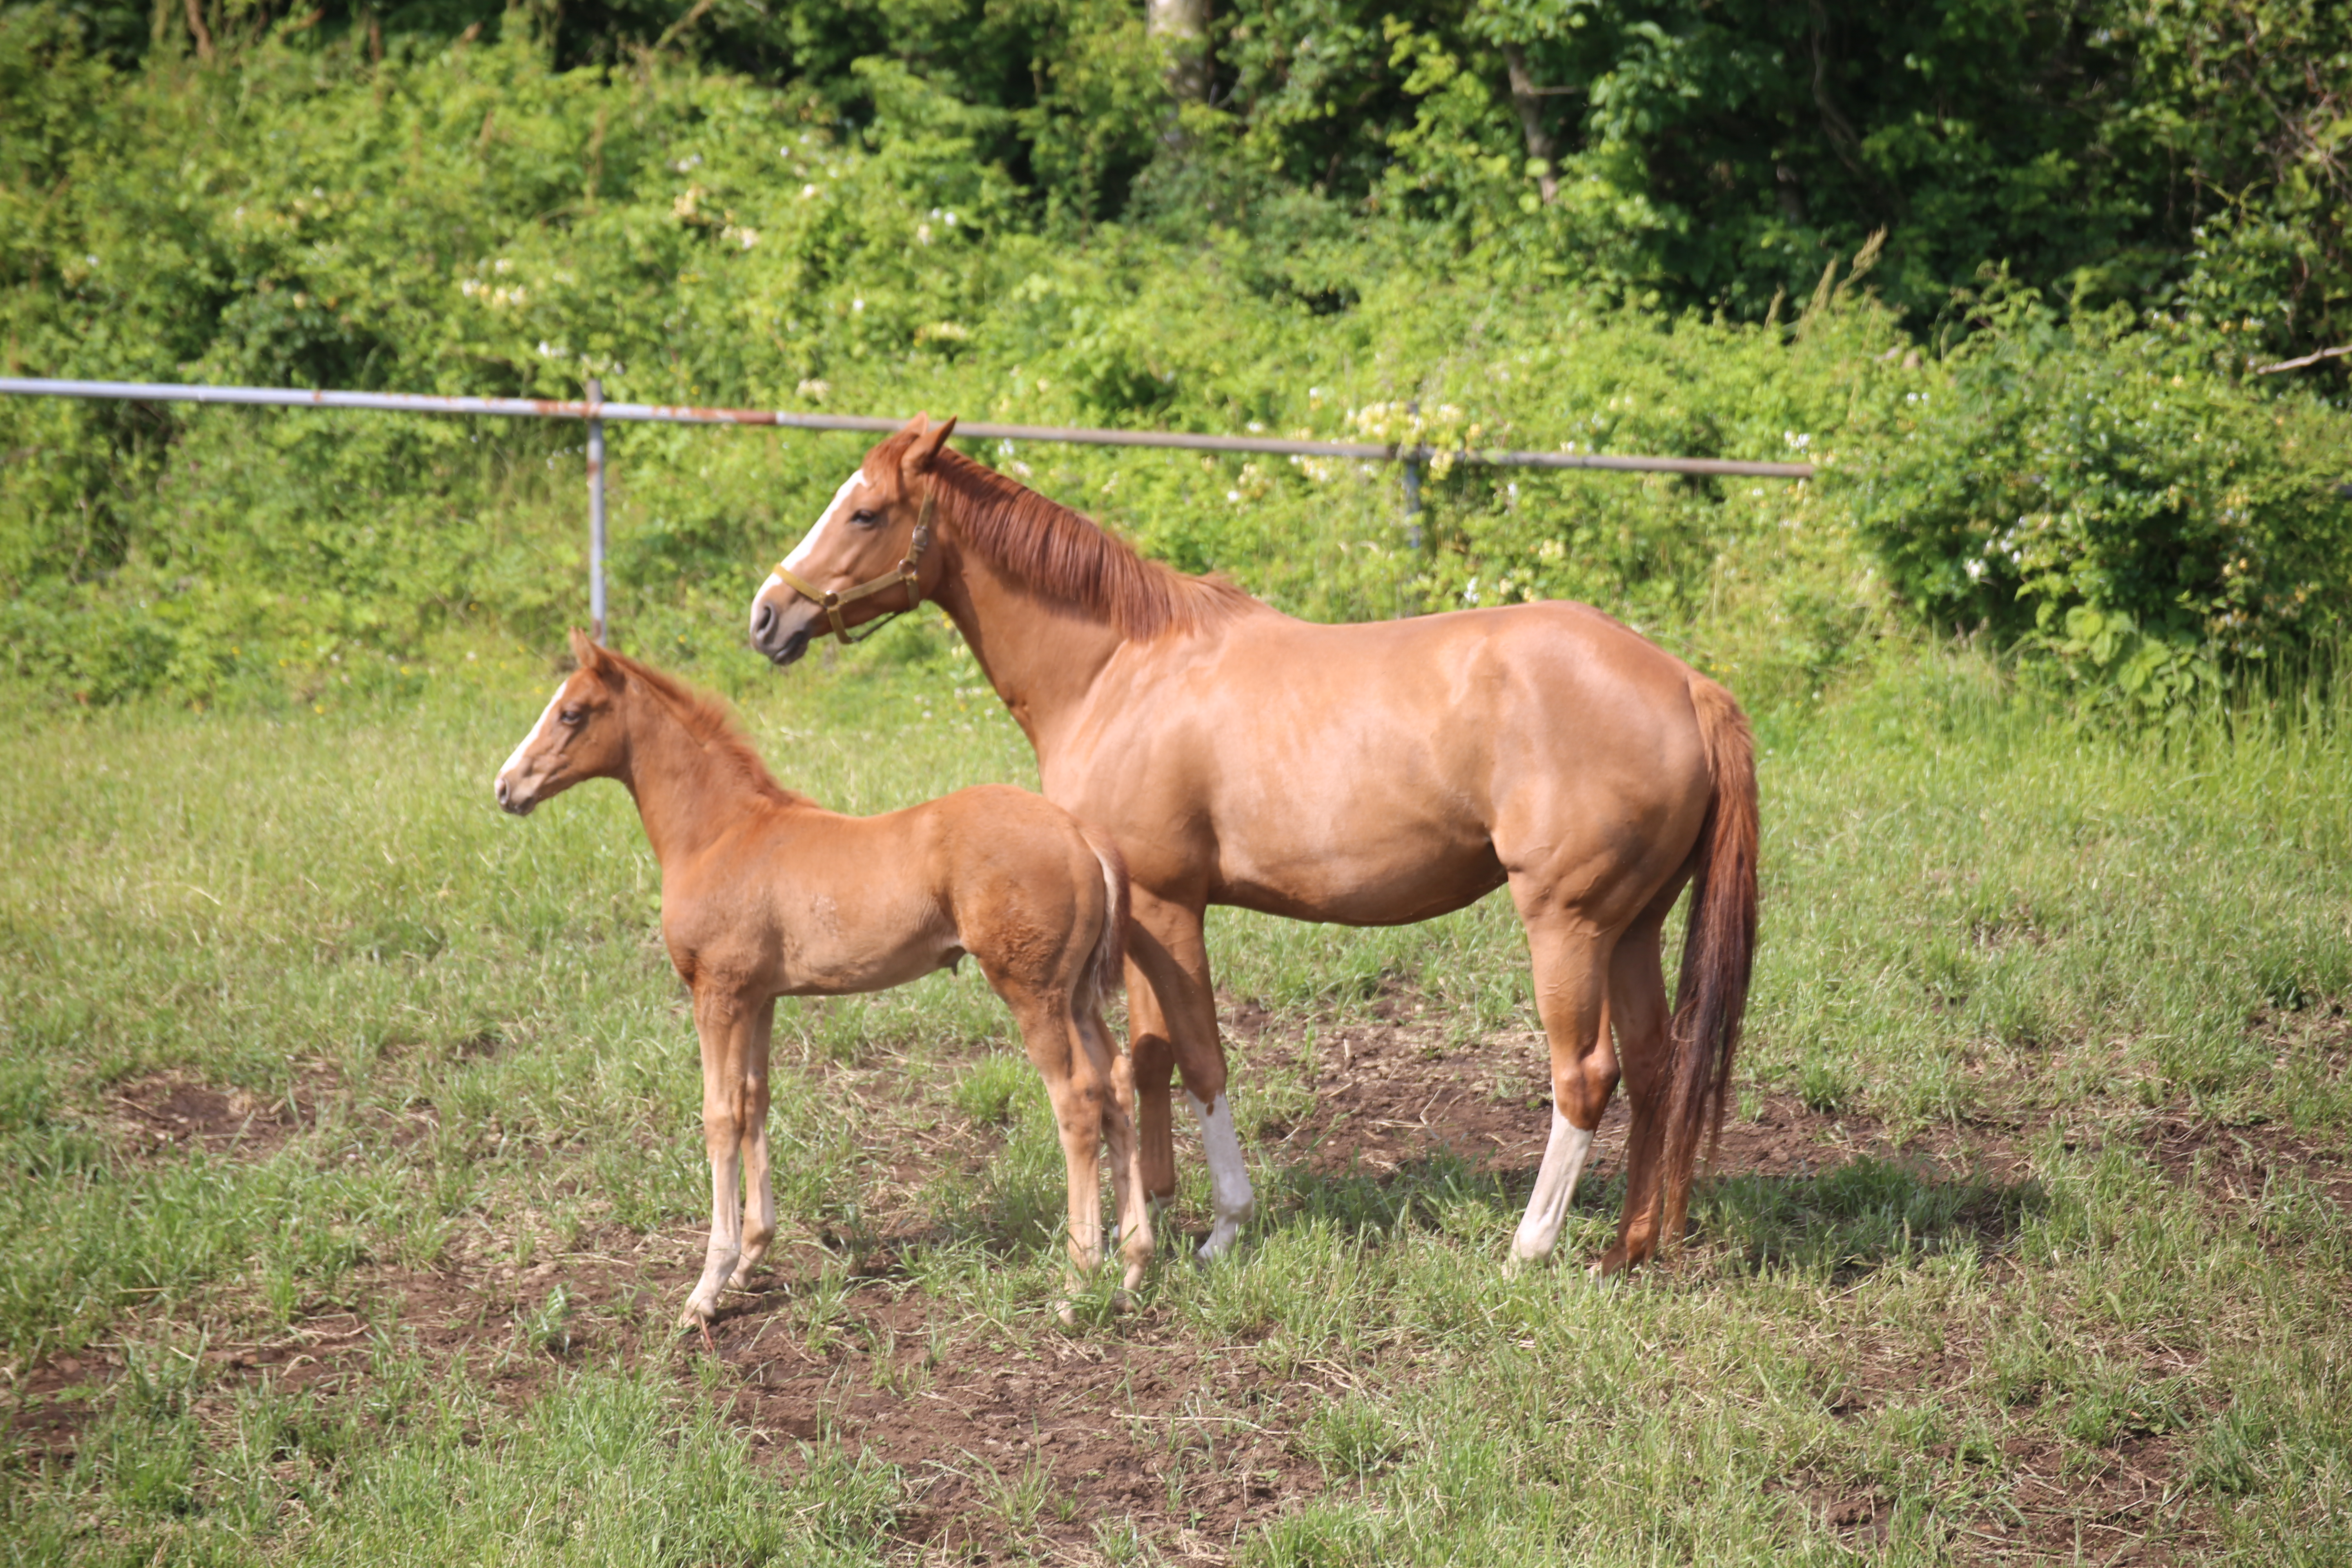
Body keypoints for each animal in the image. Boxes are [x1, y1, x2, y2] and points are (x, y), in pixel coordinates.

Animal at [501, 630, 1152, 1335]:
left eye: (572, 713)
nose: (507, 787)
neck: (720, 834)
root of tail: (1081, 833)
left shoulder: (717, 993)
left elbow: (719, 1115)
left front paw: (706, 1288)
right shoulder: (759, 998)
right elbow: (754, 1102)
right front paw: (750, 1261)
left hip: (1032, 992)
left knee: (1078, 1100)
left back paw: (1078, 1282)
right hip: (1078, 993)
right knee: (1118, 1084)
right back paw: (1133, 1268)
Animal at [743, 421, 1759, 1278]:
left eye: (865, 511)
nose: (766, 616)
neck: (1120, 668)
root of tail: (1686, 683)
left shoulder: (1167, 906)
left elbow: (1202, 1059)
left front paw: (1223, 1228)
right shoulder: (1138, 921)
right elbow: (1146, 1058)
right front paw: (1149, 1209)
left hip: (1567, 925)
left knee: (1585, 1075)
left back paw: (1529, 1248)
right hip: (1632, 928)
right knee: (1659, 1065)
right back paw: (1632, 1245)